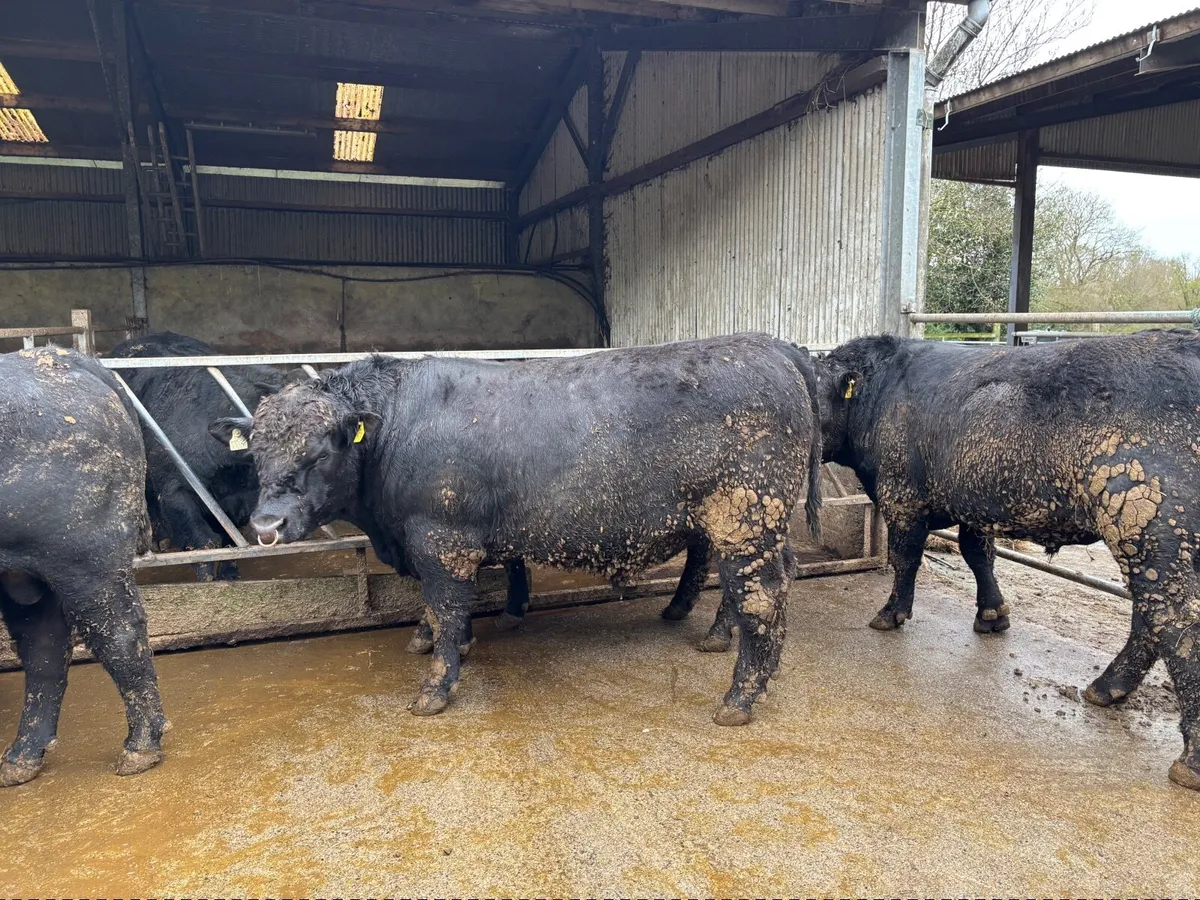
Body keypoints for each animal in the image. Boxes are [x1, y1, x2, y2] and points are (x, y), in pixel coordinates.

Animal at [0, 346, 167, 786]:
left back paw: (138, 750)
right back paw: (19, 761)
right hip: (25, 570)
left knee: (119, 633)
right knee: (44, 648)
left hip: (84, 556)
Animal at [212, 333, 823, 725]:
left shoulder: (441, 539)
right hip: (757, 523)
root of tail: (769, 346)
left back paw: (739, 698)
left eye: (319, 453)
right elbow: (443, 607)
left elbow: (447, 602)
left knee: (760, 597)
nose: (266, 525)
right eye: (256, 454)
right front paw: (439, 639)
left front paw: (436, 685)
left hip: (744, 517)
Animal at [813, 330, 1200, 790]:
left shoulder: (902, 496)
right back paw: (1109, 686)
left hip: (1149, 526)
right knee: (1150, 616)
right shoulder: (970, 504)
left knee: (1174, 619)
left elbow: (905, 558)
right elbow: (978, 554)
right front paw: (993, 614)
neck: (877, 390)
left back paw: (1190, 758)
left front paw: (892, 613)